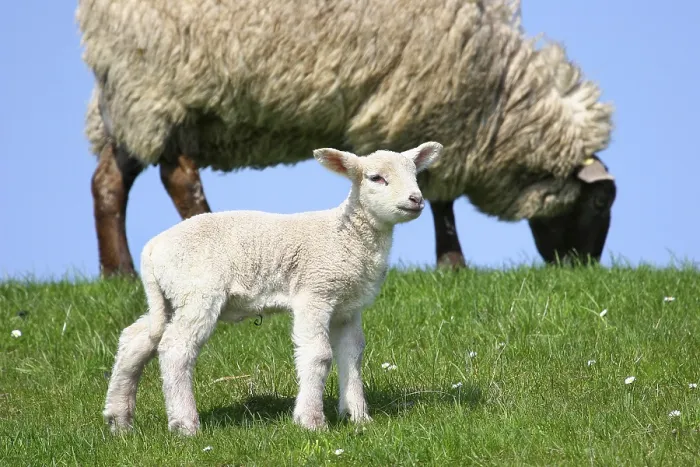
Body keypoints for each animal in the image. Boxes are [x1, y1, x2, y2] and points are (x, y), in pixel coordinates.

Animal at [77, 0, 616, 277]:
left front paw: (450, 262)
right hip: (162, 84)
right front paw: (453, 263)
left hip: (132, 101)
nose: (584, 268)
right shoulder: (429, 105)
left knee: (108, 180)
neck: (501, 88)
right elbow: (439, 196)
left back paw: (117, 272)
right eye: (598, 204)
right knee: (178, 175)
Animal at [102, 142, 443, 435]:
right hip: (198, 291)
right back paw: (185, 425)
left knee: (137, 339)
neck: (347, 235)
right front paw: (311, 421)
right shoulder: (314, 292)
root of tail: (152, 248)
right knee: (175, 348)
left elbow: (352, 354)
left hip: (171, 296)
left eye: (415, 174)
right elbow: (319, 354)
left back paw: (119, 420)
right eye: (376, 178)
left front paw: (358, 416)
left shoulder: (348, 306)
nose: (416, 199)